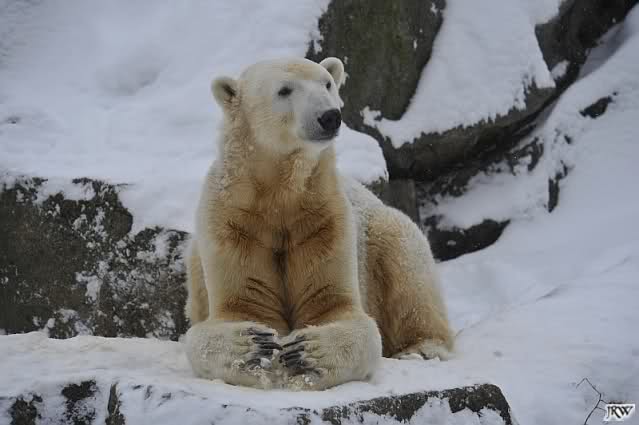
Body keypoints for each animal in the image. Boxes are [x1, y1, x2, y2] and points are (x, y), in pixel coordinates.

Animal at [184, 57, 453, 391]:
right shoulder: (233, 223)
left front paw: (306, 354)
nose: (330, 116)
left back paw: (424, 349)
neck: (280, 196)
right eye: (284, 90)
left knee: (407, 259)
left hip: (380, 230)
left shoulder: (325, 221)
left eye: (327, 83)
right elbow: (240, 308)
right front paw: (255, 347)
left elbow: (337, 308)